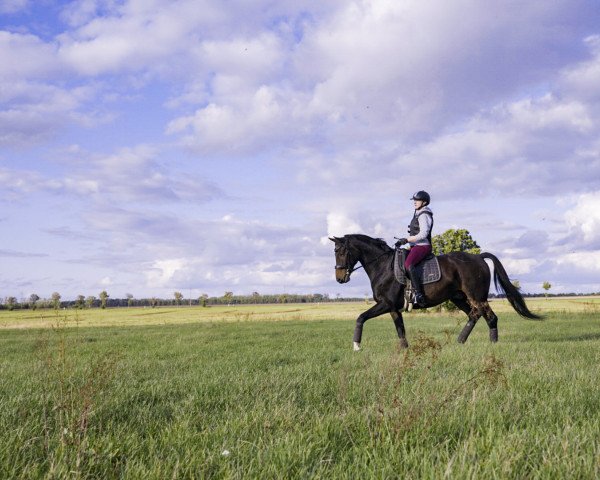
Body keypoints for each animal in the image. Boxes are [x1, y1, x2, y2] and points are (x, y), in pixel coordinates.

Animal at [330, 234, 540, 350]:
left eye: (341, 251)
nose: (339, 278)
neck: (383, 266)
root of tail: (478, 257)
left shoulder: (385, 304)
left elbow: (360, 318)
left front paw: (356, 346)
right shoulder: (393, 308)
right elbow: (400, 329)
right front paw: (405, 349)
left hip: (476, 296)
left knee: (489, 316)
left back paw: (489, 343)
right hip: (458, 297)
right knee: (475, 315)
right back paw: (462, 341)